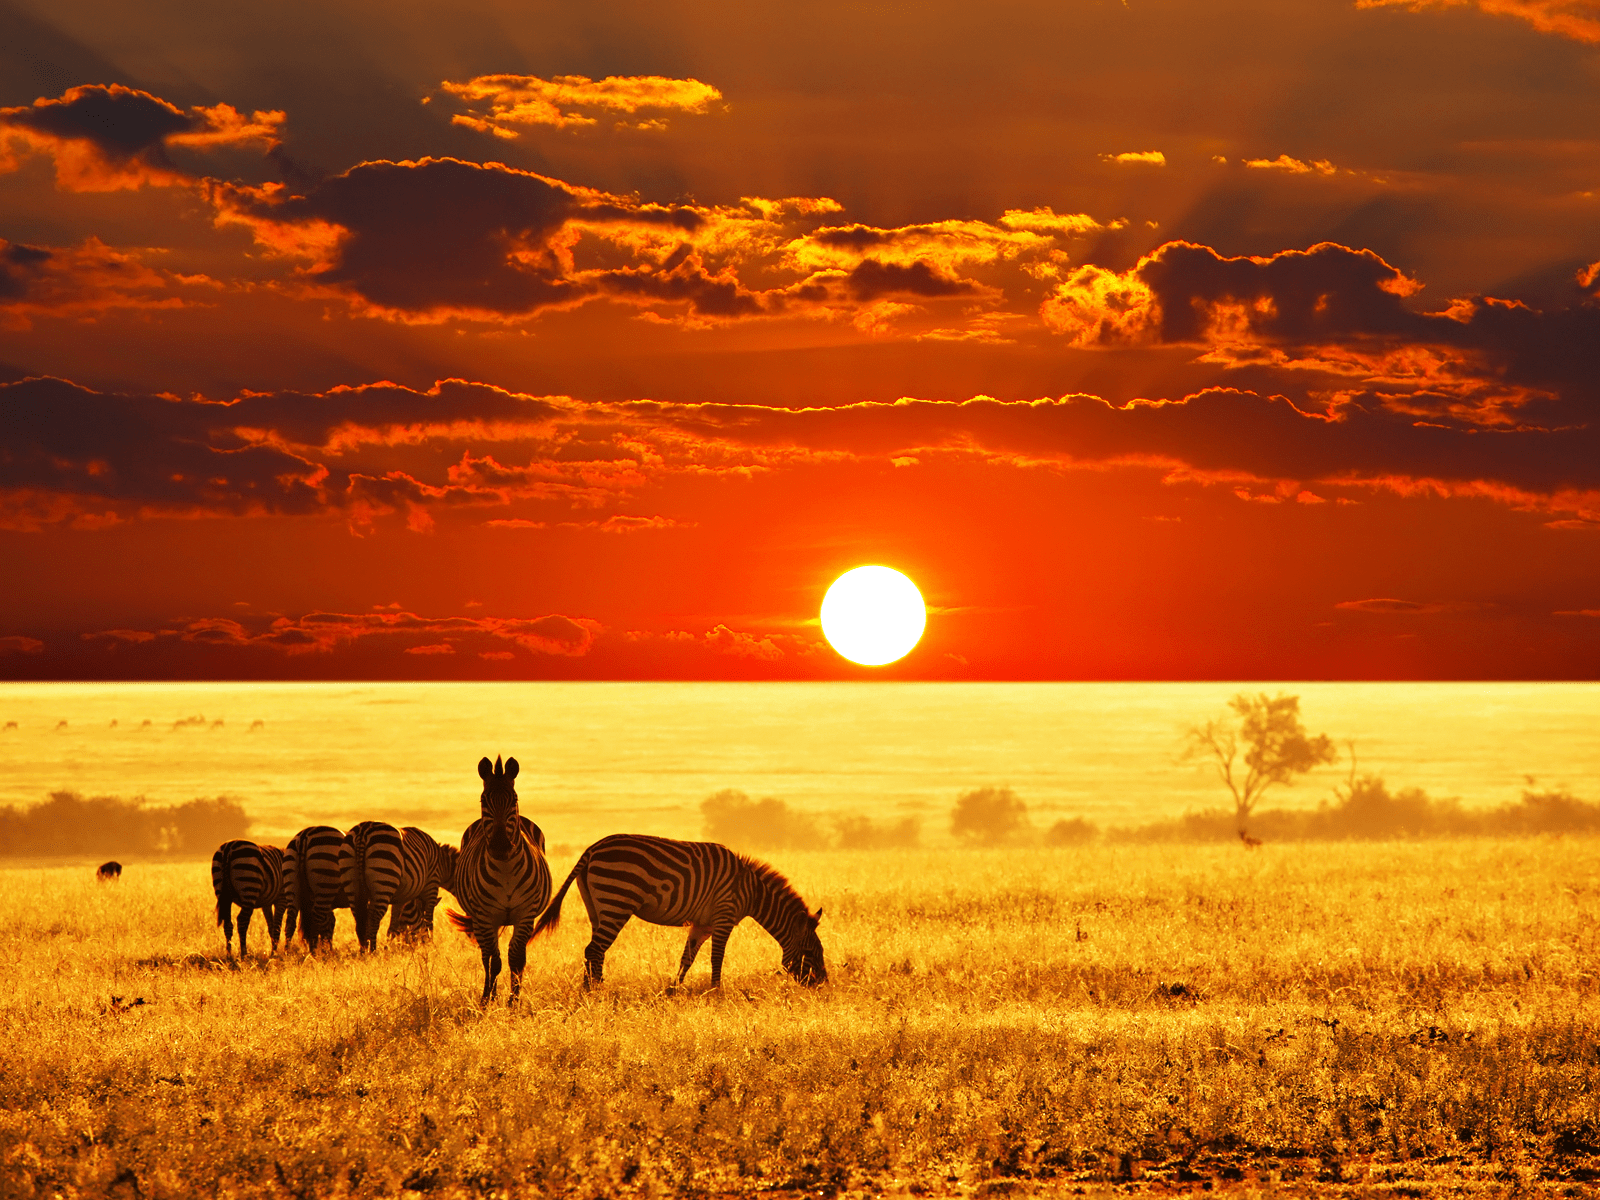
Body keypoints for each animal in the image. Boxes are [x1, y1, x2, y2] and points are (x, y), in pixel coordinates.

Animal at [340, 825, 406, 953]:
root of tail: (363, 831)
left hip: (350, 882)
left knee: (359, 919)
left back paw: (363, 950)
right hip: (384, 877)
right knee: (374, 919)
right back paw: (373, 950)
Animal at [444, 761, 550, 1004]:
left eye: (514, 799)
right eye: (483, 800)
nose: (501, 846)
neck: (506, 870)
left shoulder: (525, 914)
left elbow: (516, 959)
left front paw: (513, 1001)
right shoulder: (485, 916)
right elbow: (494, 960)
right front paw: (489, 1000)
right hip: (481, 920)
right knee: (487, 957)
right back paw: (487, 995)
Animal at [534, 838, 832, 998]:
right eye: (811, 952)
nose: (824, 987)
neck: (751, 891)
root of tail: (592, 849)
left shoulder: (703, 924)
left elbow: (686, 958)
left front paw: (673, 990)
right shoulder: (724, 915)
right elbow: (717, 957)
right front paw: (716, 991)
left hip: (597, 908)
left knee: (595, 951)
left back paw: (594, 989)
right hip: (617, 901)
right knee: (594, 949)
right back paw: (594, 992)